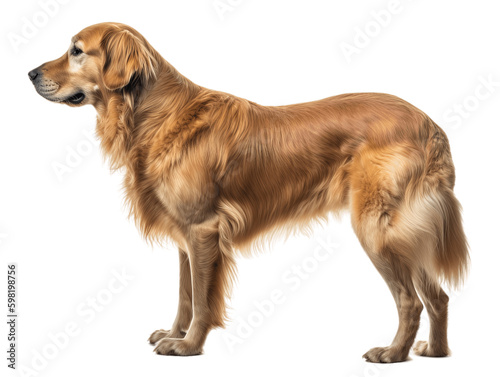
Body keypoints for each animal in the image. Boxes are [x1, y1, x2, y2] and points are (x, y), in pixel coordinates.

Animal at [30, 21, 468, 362]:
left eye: (76, 51)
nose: (31, 73)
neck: (154, 114)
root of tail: (430, 124)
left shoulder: (203, 229)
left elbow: (202, 298)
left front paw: (188, 346)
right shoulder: (186, 236)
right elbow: (184, 295)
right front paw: (174, 334)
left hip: (376, 227)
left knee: (411, 299)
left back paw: (393, 353)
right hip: (406, 232)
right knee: (439, 296)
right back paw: (435, 351)